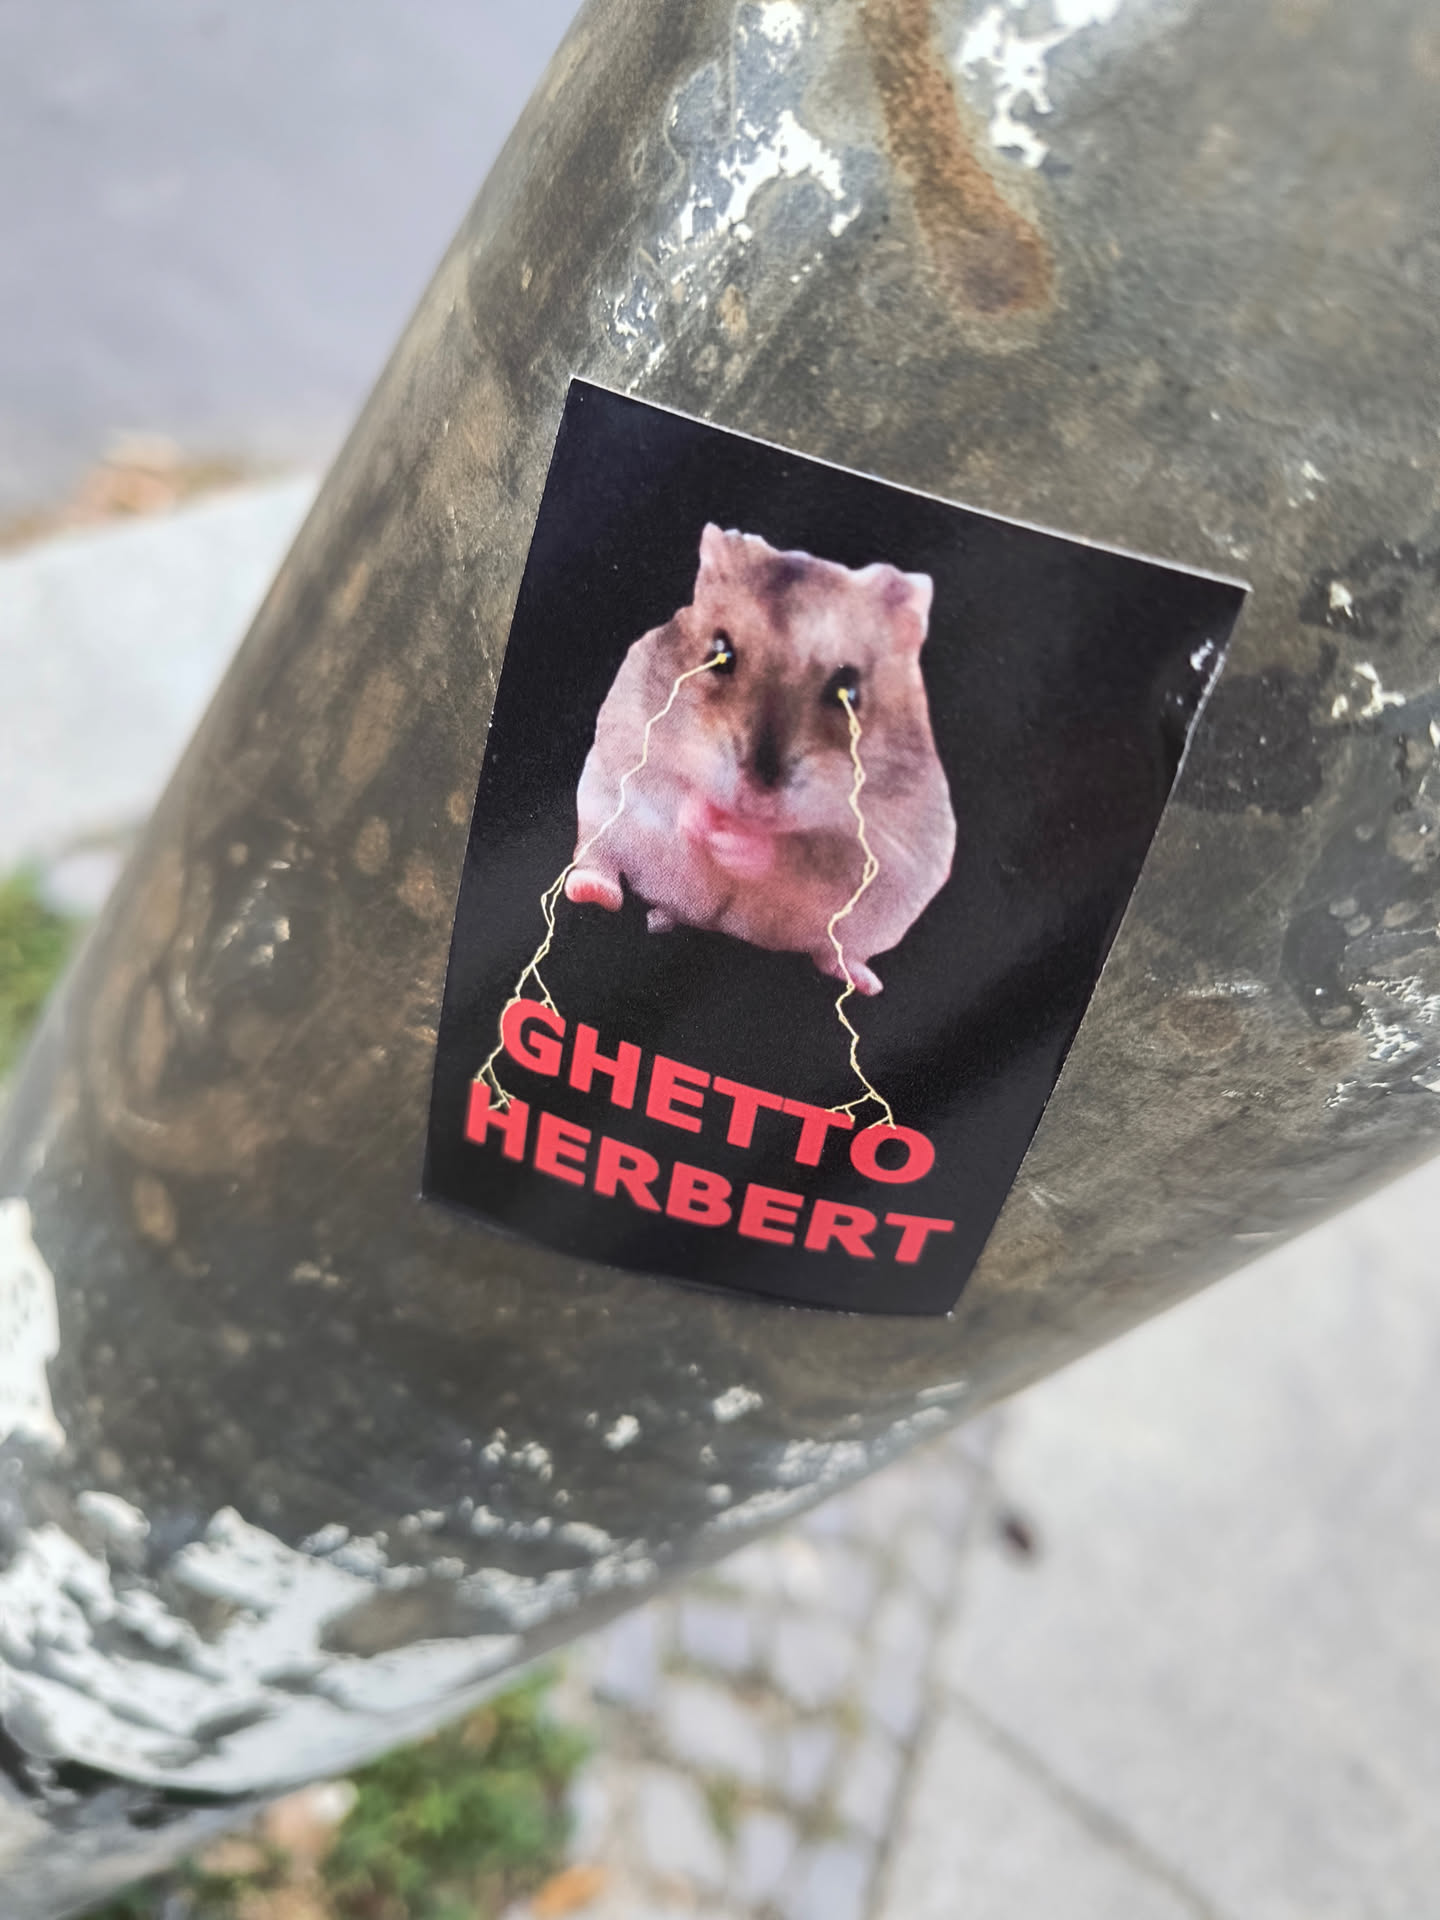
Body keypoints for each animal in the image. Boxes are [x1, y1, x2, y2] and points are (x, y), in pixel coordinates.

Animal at [564, 523, 955, 994]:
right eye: (720, 654)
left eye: (849, 691)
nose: (753, 797)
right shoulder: (627, 739)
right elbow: (670, 792)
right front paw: (704, 819)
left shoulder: (884, 848)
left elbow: (797, 857)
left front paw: (737, 840)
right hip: (597, 812)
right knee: (598, 860)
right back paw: (592, 890)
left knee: (832, 953)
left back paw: (861, 979)